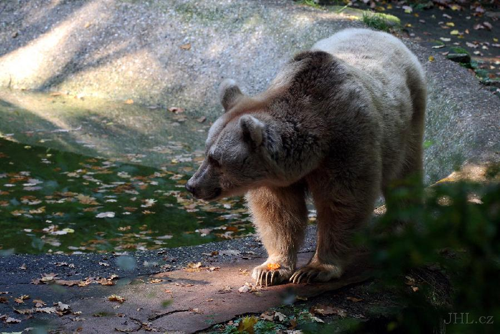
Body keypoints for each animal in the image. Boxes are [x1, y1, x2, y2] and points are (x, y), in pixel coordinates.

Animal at [186, 28, 428, 284]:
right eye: (206, 152)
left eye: (217, 160)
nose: (192, 185)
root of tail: (380, 32)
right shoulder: (276, 176)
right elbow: (278, 212)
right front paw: (271, 269)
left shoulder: (347, 143)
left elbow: (343, 201)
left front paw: (315, 268)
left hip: (409, 115)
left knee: (405, 172)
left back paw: (398, 224)